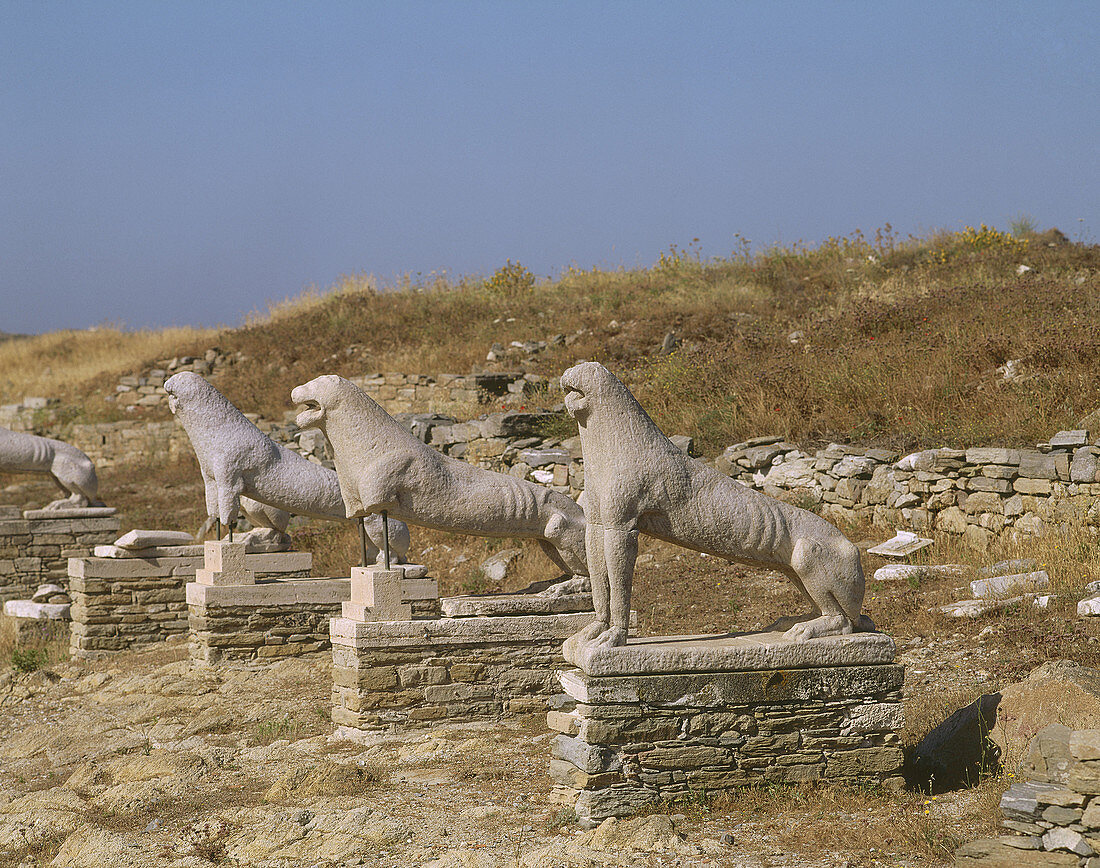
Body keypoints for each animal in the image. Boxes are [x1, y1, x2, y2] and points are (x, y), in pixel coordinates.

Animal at [167, 371, 413, 561]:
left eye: (175, 385)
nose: (167, 385)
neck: (218, 428)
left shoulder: (229, 475)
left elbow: (227, 511)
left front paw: (227, 539)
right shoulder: (209, 478)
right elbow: (213, 508)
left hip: (375, 523)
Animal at [288, 371, 589, 576]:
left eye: (316, 383)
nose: (293, 391)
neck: (365, 444)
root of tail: (581, 511)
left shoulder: (383, 485)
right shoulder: (353, 499)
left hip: (566, 533)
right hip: (547, 540)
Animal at [563, 360, 871, 651]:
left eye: (589, 371)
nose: (569, 372)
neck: (616, 443)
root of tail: (852, 549)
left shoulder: (621, 526)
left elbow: (619, 588)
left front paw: (615, 635)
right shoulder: (597, 524)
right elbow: (599, 583)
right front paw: (594, 630)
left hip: (810, 556)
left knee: (842, 620)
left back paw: (807, 628)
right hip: (792, 571)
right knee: (836, 615)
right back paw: (793, 621)